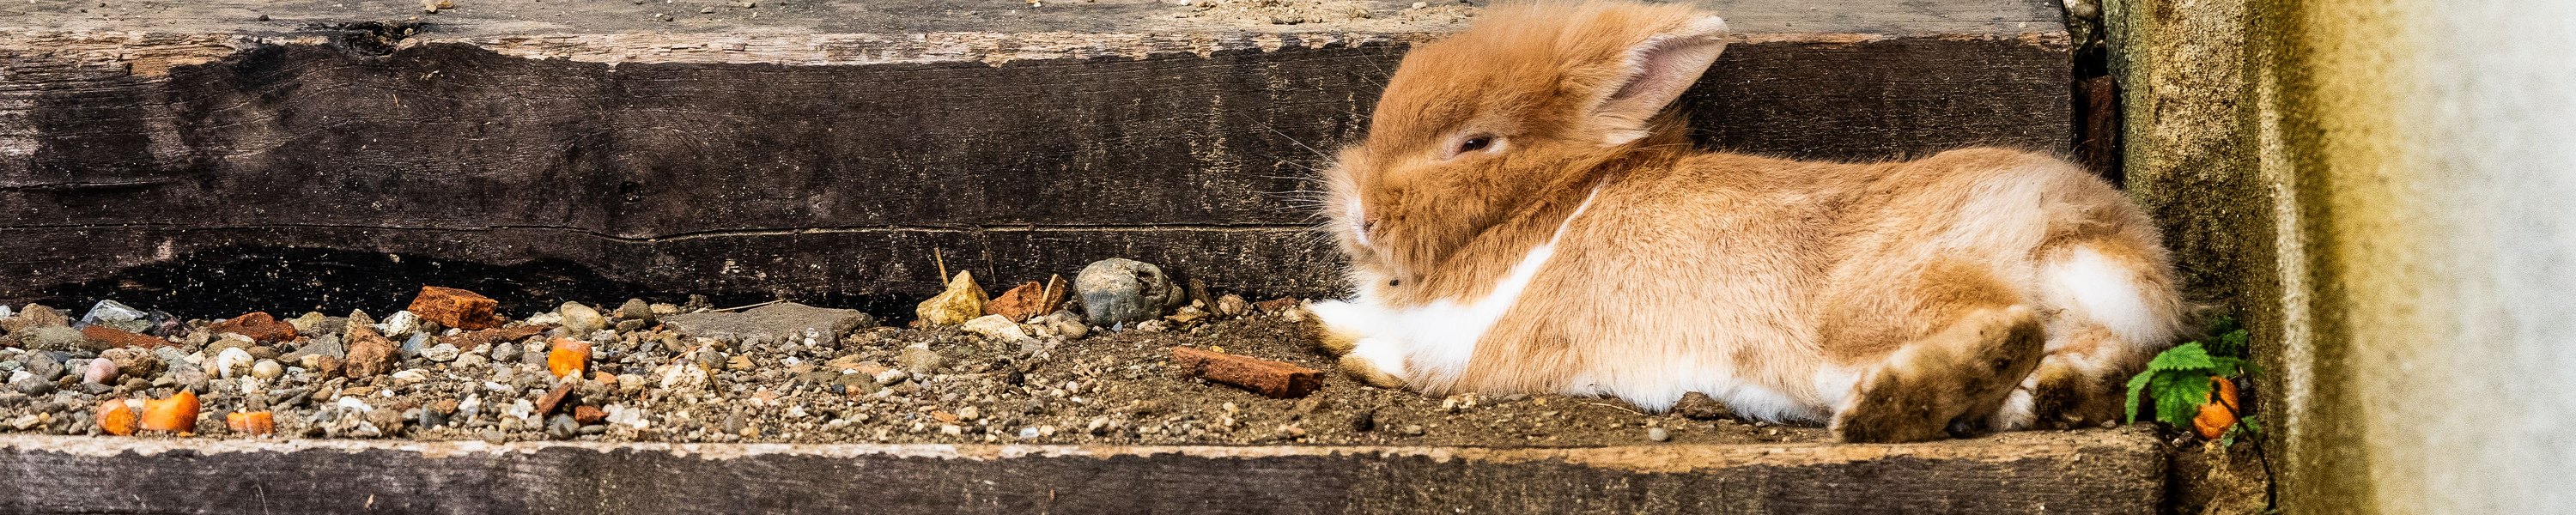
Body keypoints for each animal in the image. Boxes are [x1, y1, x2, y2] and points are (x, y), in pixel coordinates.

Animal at [1304, 0, 2186, 442]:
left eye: (1475, 143)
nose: (1360, 215)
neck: (1558, 194)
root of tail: (2090, 234)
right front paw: (1321, 319)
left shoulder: (1479, 335)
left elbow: (1417, 357)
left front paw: (1355, 352)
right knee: (2085, 376)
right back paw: (2039, 401)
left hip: (1878, 301)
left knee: (2008, 327)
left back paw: (1883, 409)